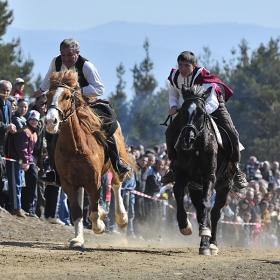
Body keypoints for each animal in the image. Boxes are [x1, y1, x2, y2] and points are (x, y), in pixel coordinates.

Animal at [174, 85, 235, 256]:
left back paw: (212, 243)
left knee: (215, 213)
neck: (196, 148)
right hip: (195, 187)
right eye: (182, 111)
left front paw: (206, 241)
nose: (186, 139)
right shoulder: (182, 175)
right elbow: (178, 192)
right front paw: (184, 225)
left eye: (201, 112)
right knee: (201, 211)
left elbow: (207, 204)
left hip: (224, 187)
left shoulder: (209, 177)